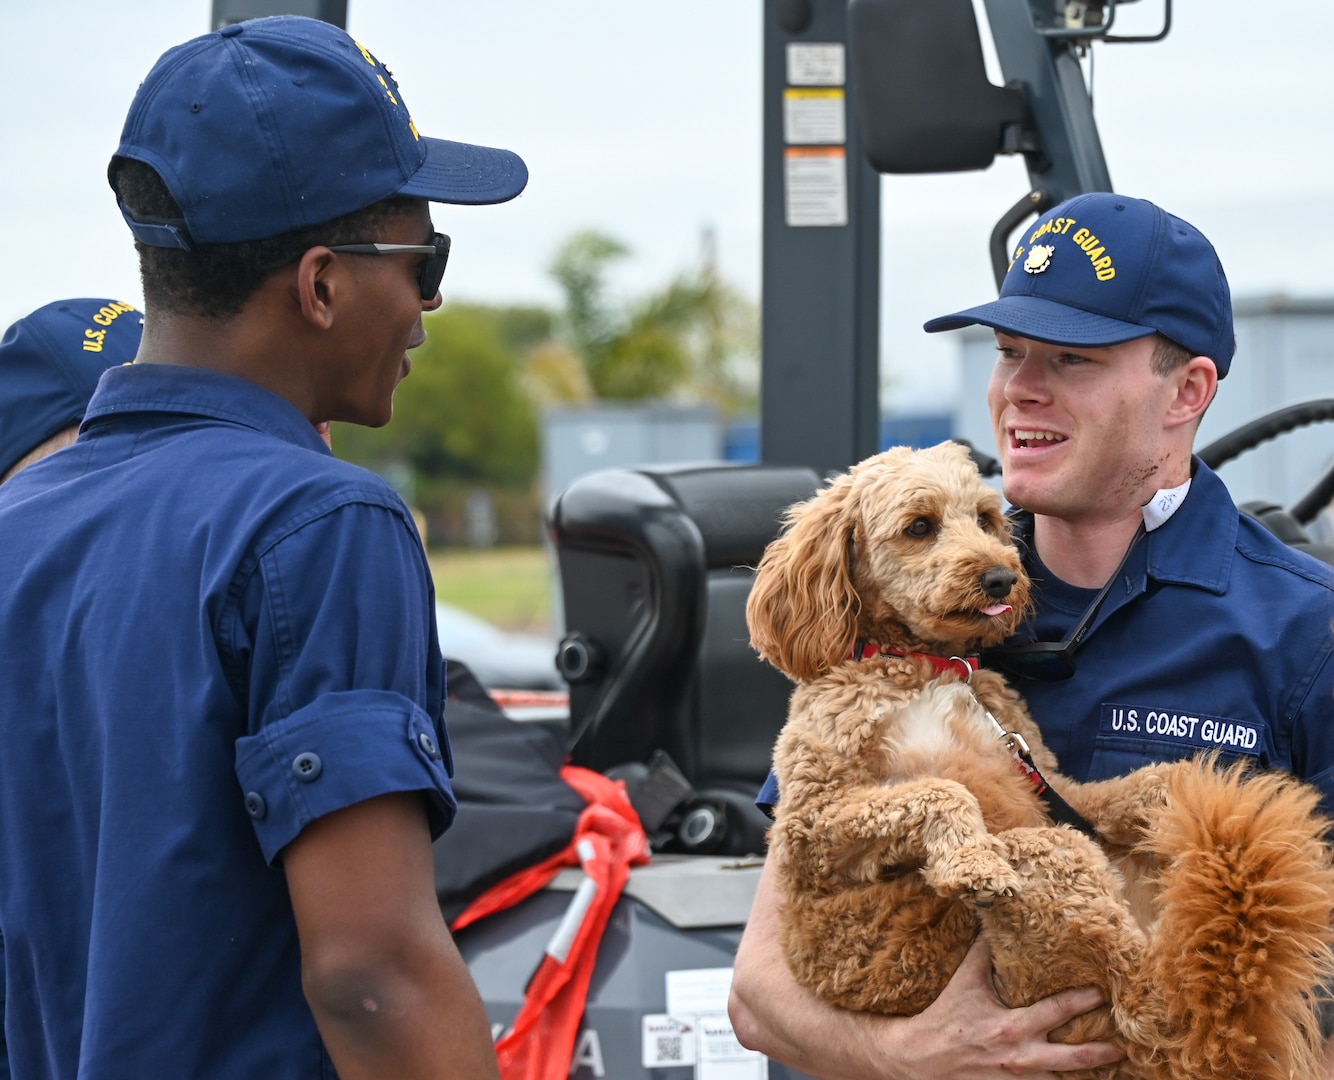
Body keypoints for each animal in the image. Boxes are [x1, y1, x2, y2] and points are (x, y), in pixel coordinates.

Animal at [747, 440, 1334, 1077]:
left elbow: (1150, 781)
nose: (1002, 577)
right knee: (1155, 1003)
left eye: (985, 519)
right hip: (1049, 867)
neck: (926, 666)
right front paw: (971, 861)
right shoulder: (812, 828)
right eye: (919, 527)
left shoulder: (1041, 779)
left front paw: (1201, 787)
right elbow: (940, 790)